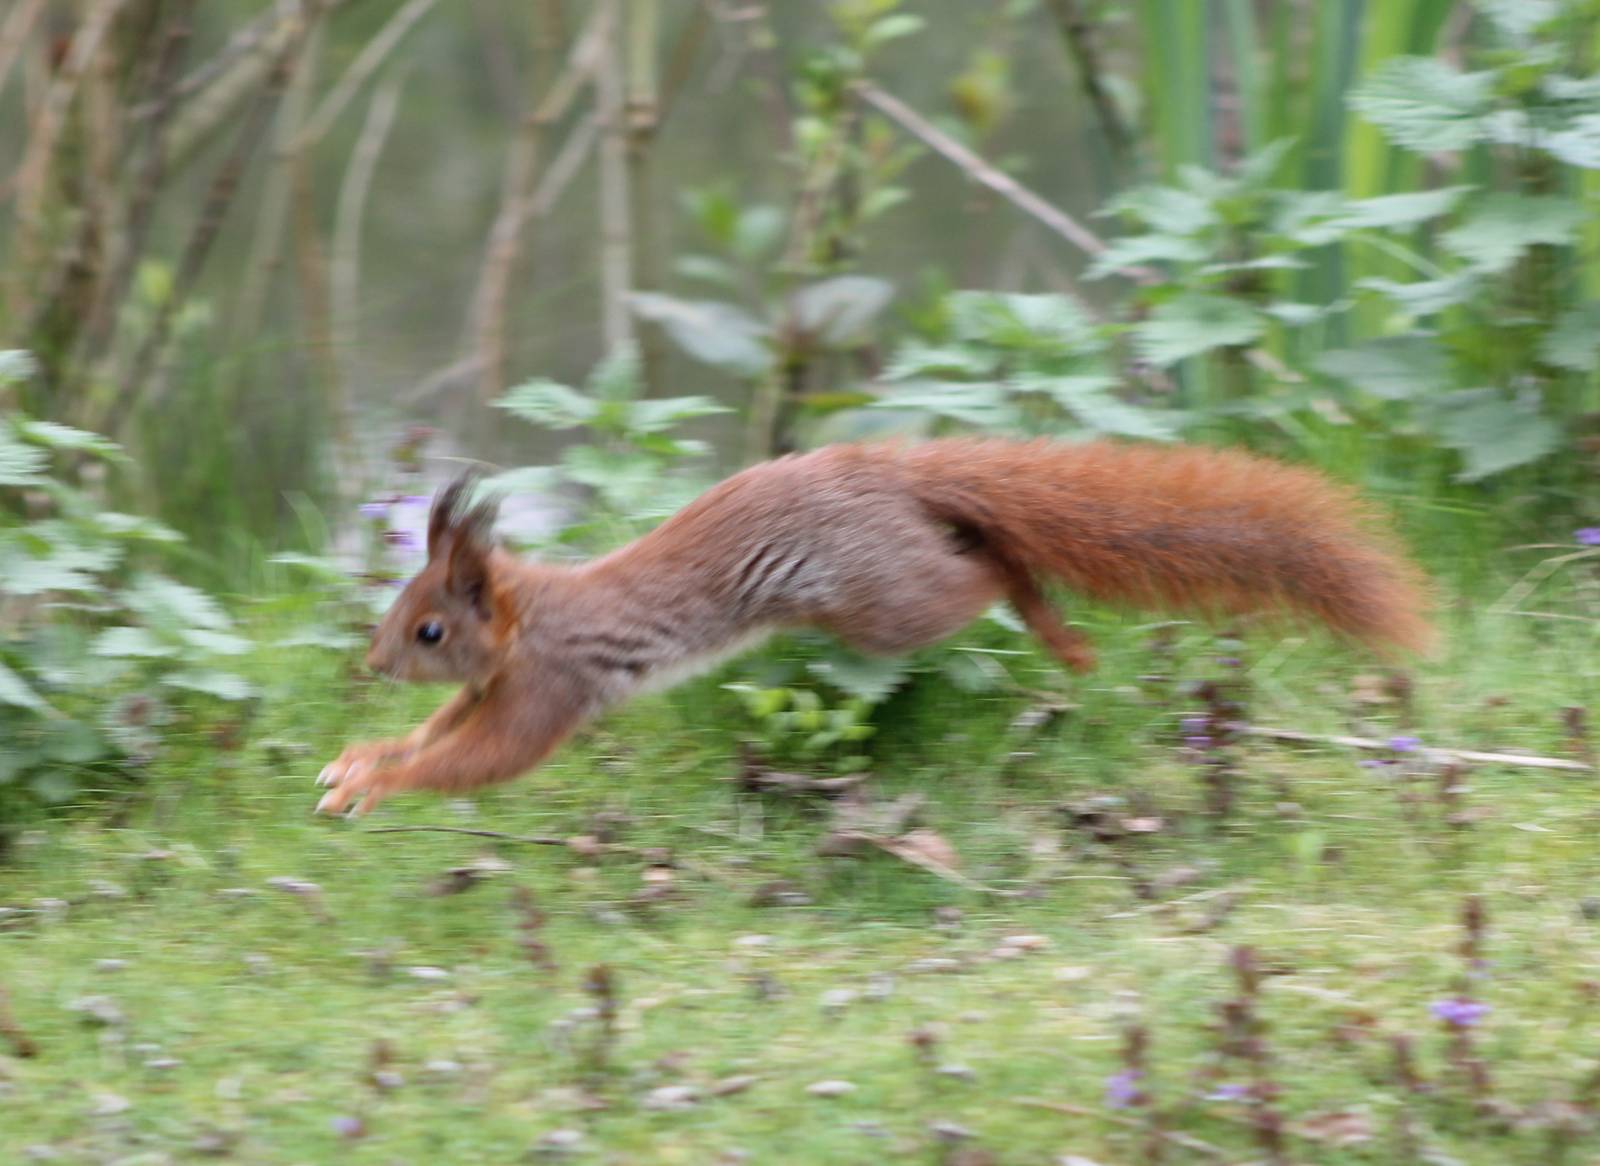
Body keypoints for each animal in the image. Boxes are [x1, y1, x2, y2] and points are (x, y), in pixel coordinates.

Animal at [315, 437, 1431, 815]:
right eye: (400, 617)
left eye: (427, 630)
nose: (372, 663)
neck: (525, 621)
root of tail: (887, 471)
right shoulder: (496, 684)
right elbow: (441, 735)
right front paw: (361, 758)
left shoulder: (548, 682)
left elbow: (483, 759)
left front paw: (377, 785)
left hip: (887, 602)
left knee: (987, 566)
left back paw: (1047, 619)